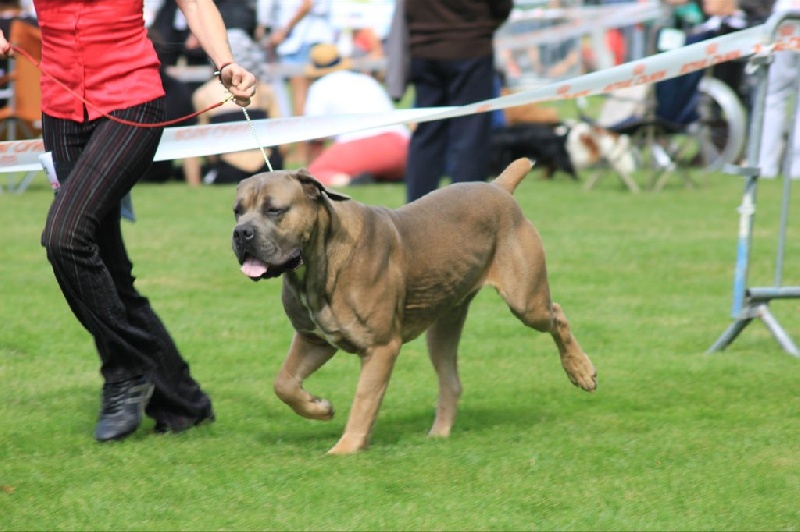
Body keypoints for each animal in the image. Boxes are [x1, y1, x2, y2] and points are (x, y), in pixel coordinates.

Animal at [231, 158, 592, 454]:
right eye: (237, 210)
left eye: (274, 210)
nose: (241, 233)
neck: (320, 261)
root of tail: (498, 188)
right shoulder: (314, 340)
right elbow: (284, 383)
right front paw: (319, 407)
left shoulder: (380, 348)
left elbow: (364, 399)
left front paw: (345, 449)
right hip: (444, 325)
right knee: (451, 381)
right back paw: (439, 435)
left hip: (527, 302)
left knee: (557, 316)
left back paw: (581, 370)